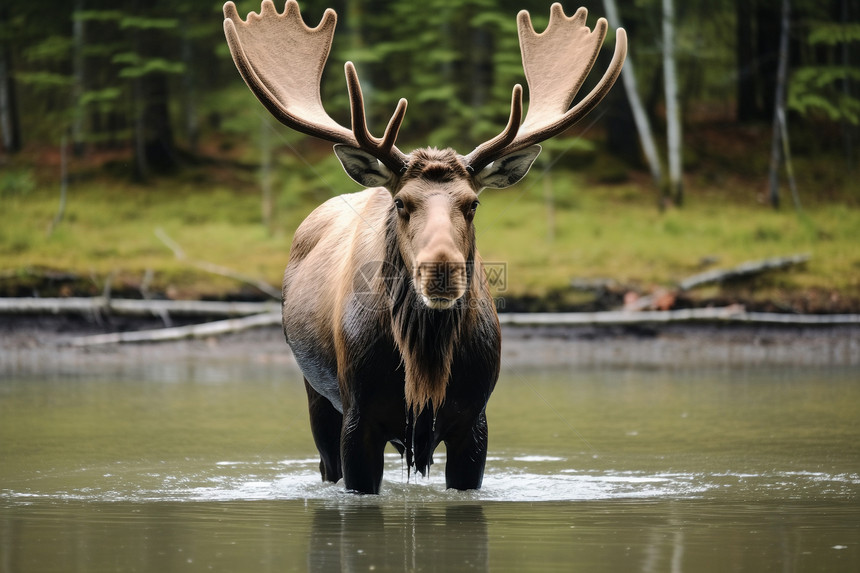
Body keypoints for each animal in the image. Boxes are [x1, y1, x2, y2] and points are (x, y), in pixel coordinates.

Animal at [222, 0, 624, 492]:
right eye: (401, 202)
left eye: (472, 204)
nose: (441, 269)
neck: (423, 370)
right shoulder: (358, 416)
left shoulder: (475, 421)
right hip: (314, 391)